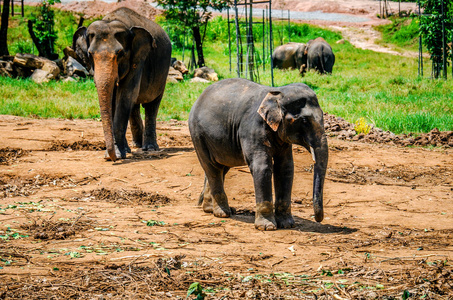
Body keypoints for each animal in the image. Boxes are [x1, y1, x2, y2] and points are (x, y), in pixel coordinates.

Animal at [72, 7, 171, 162]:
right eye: (90, 54)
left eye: (120, 54)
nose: (111, 158)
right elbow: (114, 99)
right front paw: (116, 153)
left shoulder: (138, 58)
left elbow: (125, 94)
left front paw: (117, 154)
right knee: (134, 106)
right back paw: (135, 145)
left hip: (163, 73)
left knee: (151, 105)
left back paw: (149, 148)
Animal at [188, 78, 328, 231]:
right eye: (304, 121)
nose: (318, 219)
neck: (277, 92)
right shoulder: (252, 128)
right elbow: (262, 168)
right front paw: (267, 227)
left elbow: (285, 168)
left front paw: (287, 224)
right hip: (198, 135)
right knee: (212, 168)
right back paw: (222, 213)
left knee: (221, 168)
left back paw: (211, 209)